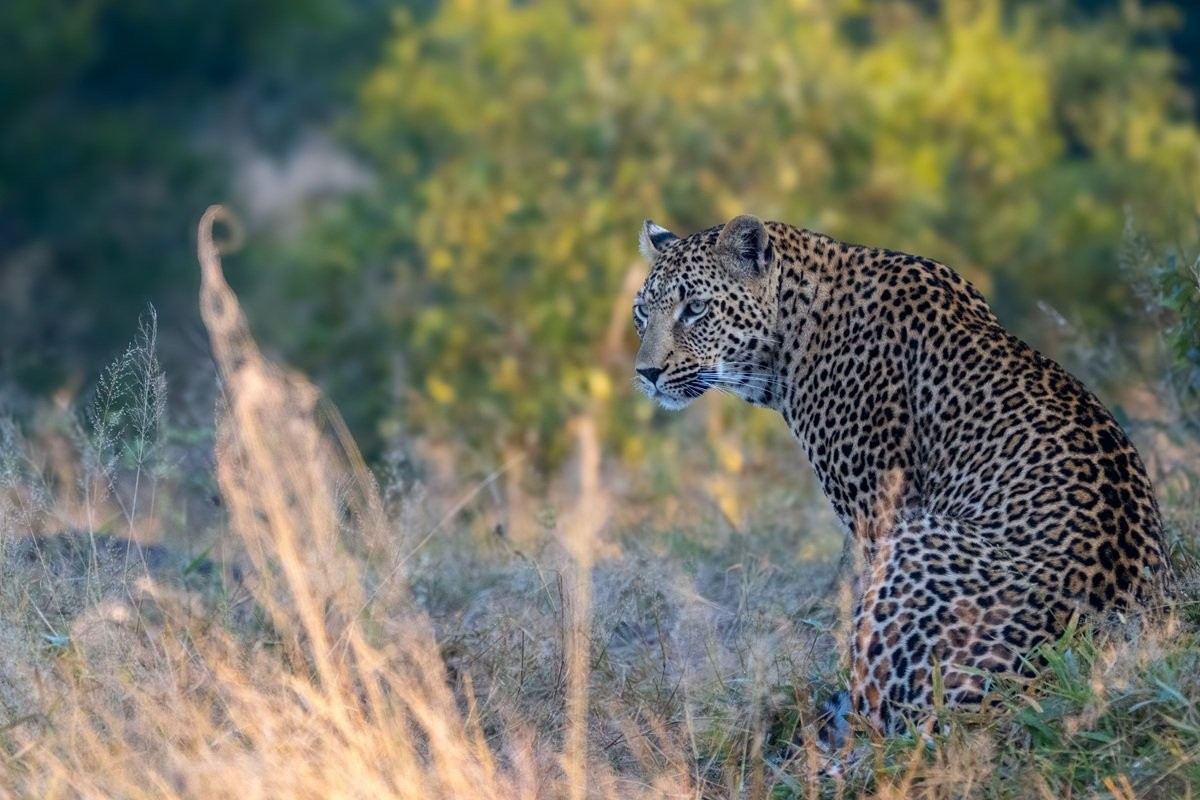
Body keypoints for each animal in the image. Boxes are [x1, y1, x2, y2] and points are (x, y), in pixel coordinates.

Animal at [631, 214, 1174, 740]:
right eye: (641, 313)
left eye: (695, 309)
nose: (646, 374)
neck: (794, 328)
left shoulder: (880, 512)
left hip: (917, 543)